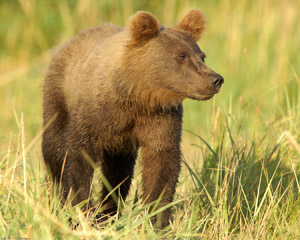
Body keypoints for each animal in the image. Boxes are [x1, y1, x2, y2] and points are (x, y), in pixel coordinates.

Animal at [42, 9, 223, 227]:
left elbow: (162, 164)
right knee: (53, 149)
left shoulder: (160, 118)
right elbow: (77, 158)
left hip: (120, 145)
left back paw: (109, 213)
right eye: (181, 56)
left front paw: (158, 221)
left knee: (118, 172)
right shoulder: (94, 114)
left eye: (202, 56)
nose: (215, 79)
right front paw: (80, 212)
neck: (136, 96)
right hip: (58, 98)